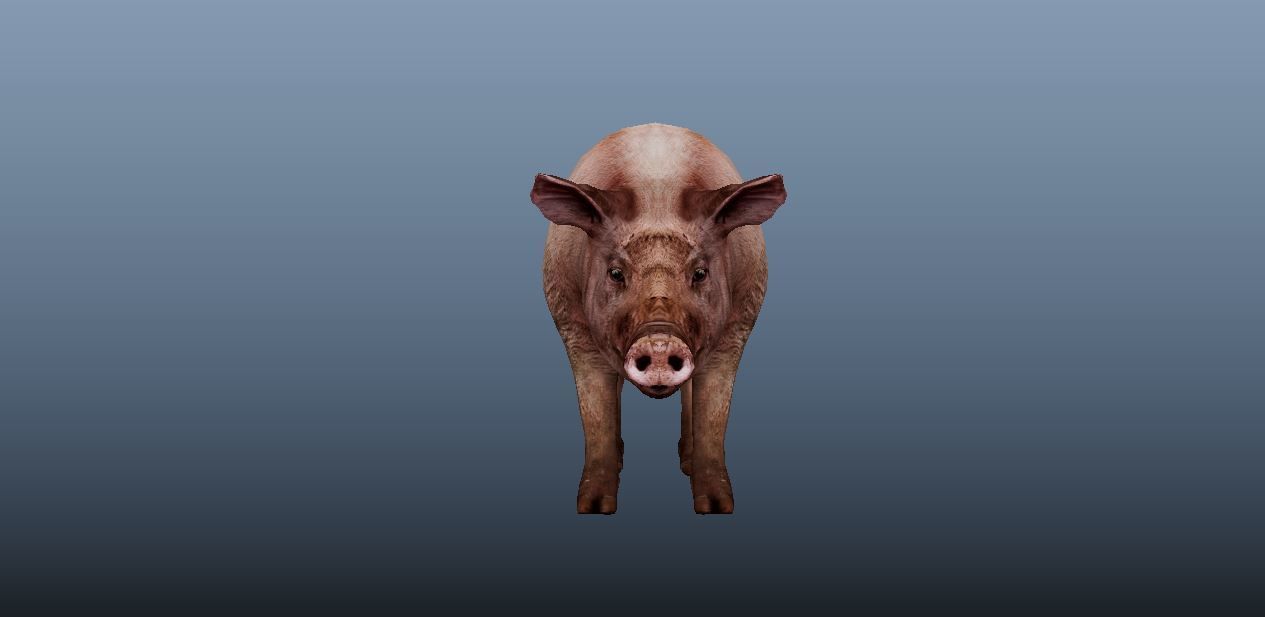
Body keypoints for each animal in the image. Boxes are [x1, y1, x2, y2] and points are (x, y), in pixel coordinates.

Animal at [530, 123, 788, 514]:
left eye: (700, 272)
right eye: (616, 272)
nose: (660, 342)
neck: (658, 195)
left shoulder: (738, 326)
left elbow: (713, 411)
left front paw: (716, 508)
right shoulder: (571, 324)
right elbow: (596, 411)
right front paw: (594, 508)